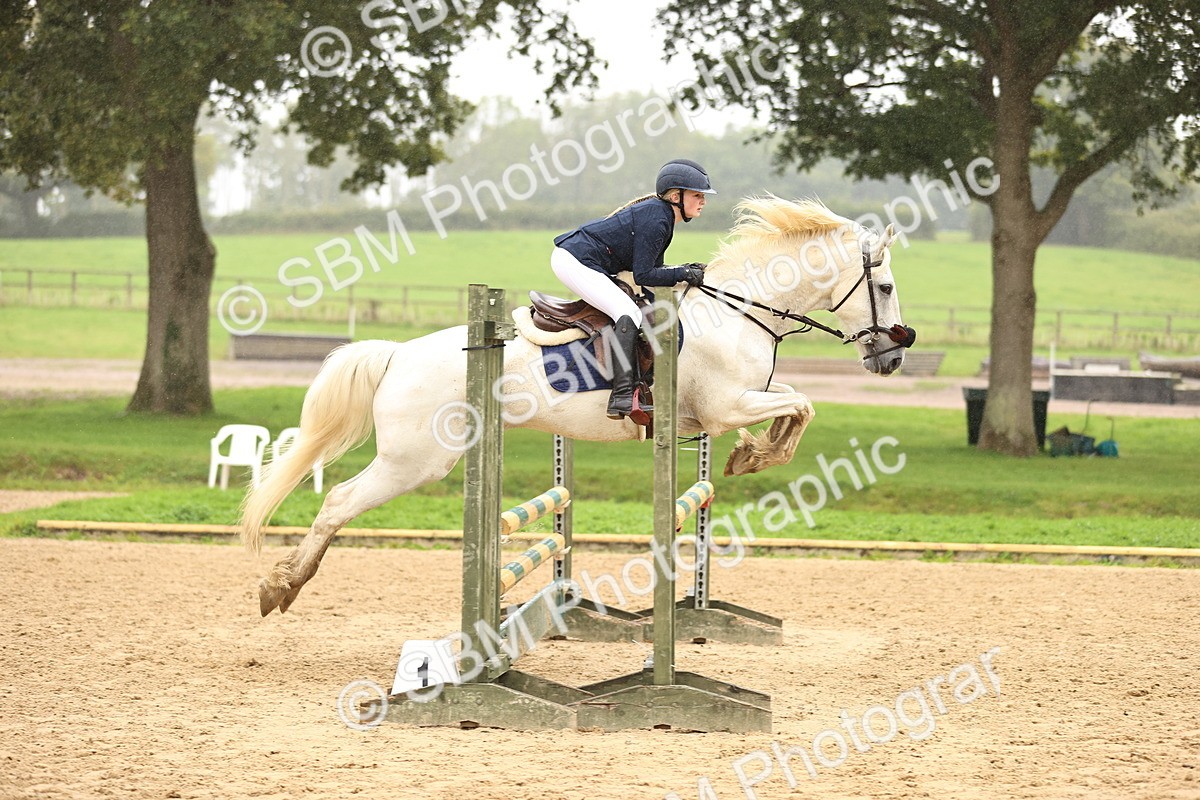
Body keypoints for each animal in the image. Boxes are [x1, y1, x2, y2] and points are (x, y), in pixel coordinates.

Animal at [241, 196, 913, 616]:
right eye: (883, 286)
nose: (893, 354)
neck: (739, 312)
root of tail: (399, 354)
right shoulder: (725, 406)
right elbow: (800, 407)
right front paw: (753, 456)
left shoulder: (733, 405)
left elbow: (797, 407)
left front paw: (751, 454)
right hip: (417, 461)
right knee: (338, 501)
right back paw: (281, 585)